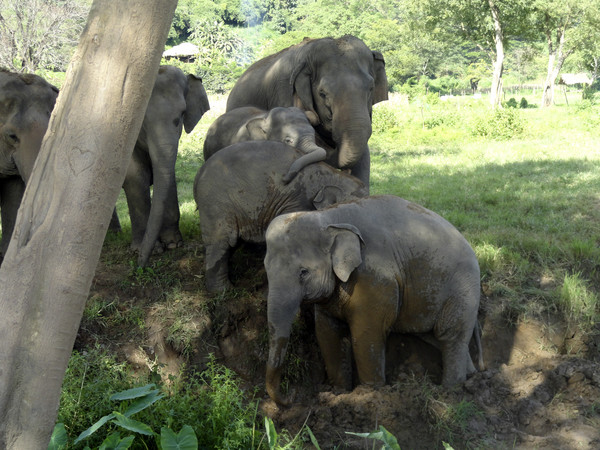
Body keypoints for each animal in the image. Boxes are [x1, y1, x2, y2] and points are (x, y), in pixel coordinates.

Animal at [111, 65, 212, 266]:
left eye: (182, 114)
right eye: (141, 120)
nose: (139, 268)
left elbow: (167, 172)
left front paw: (173, 245)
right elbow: (136, 176)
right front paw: (144, 249)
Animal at [195, 141, 368, 296]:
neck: (333, 175)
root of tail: (197, 177)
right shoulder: (299, 201)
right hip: (215, 204)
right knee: (221, 241)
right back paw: (223, 291)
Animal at [262, 195, 482, 406]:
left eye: (303, 272)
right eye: (266, 268)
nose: (292, 396)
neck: (328, 217)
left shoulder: (374, 278)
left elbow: (365, 334)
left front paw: (369, 394)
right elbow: (327, 334)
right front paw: (338, 393)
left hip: (463, 288)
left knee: (451, 336)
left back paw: (452, 391)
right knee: (435, 337)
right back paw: (471, 377)